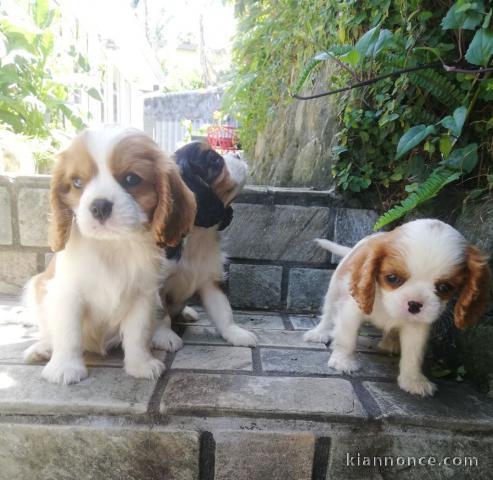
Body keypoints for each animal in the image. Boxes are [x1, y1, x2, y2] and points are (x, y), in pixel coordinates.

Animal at [22, 125, 196, 384]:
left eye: (131, 179)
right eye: (77, 182)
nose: (99, 206)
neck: (111, 246)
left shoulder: (142, 296)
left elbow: (137, 334)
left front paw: (140, 364)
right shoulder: (67, 295)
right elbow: (68, 333)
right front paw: (65, 367)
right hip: (35, 288)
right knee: (47, 329)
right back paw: (42, 348)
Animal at [153, 141, 258, 350]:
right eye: (215, 161)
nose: (239, 155)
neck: (198, 233)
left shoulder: (211, 279)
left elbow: (223, 310)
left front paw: (236, 333)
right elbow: (160, 313)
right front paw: (164, 336)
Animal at [304, 219, 488, 396]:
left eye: (445, 287)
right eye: (392, 278)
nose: (414, 304)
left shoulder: (416, 328)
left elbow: (413, 355)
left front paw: (413, 380)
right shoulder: (351, 310)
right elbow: (346, 339)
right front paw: (344, 361)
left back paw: (390, 342)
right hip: (335, 288)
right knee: (328, 313)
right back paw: (319, 333)